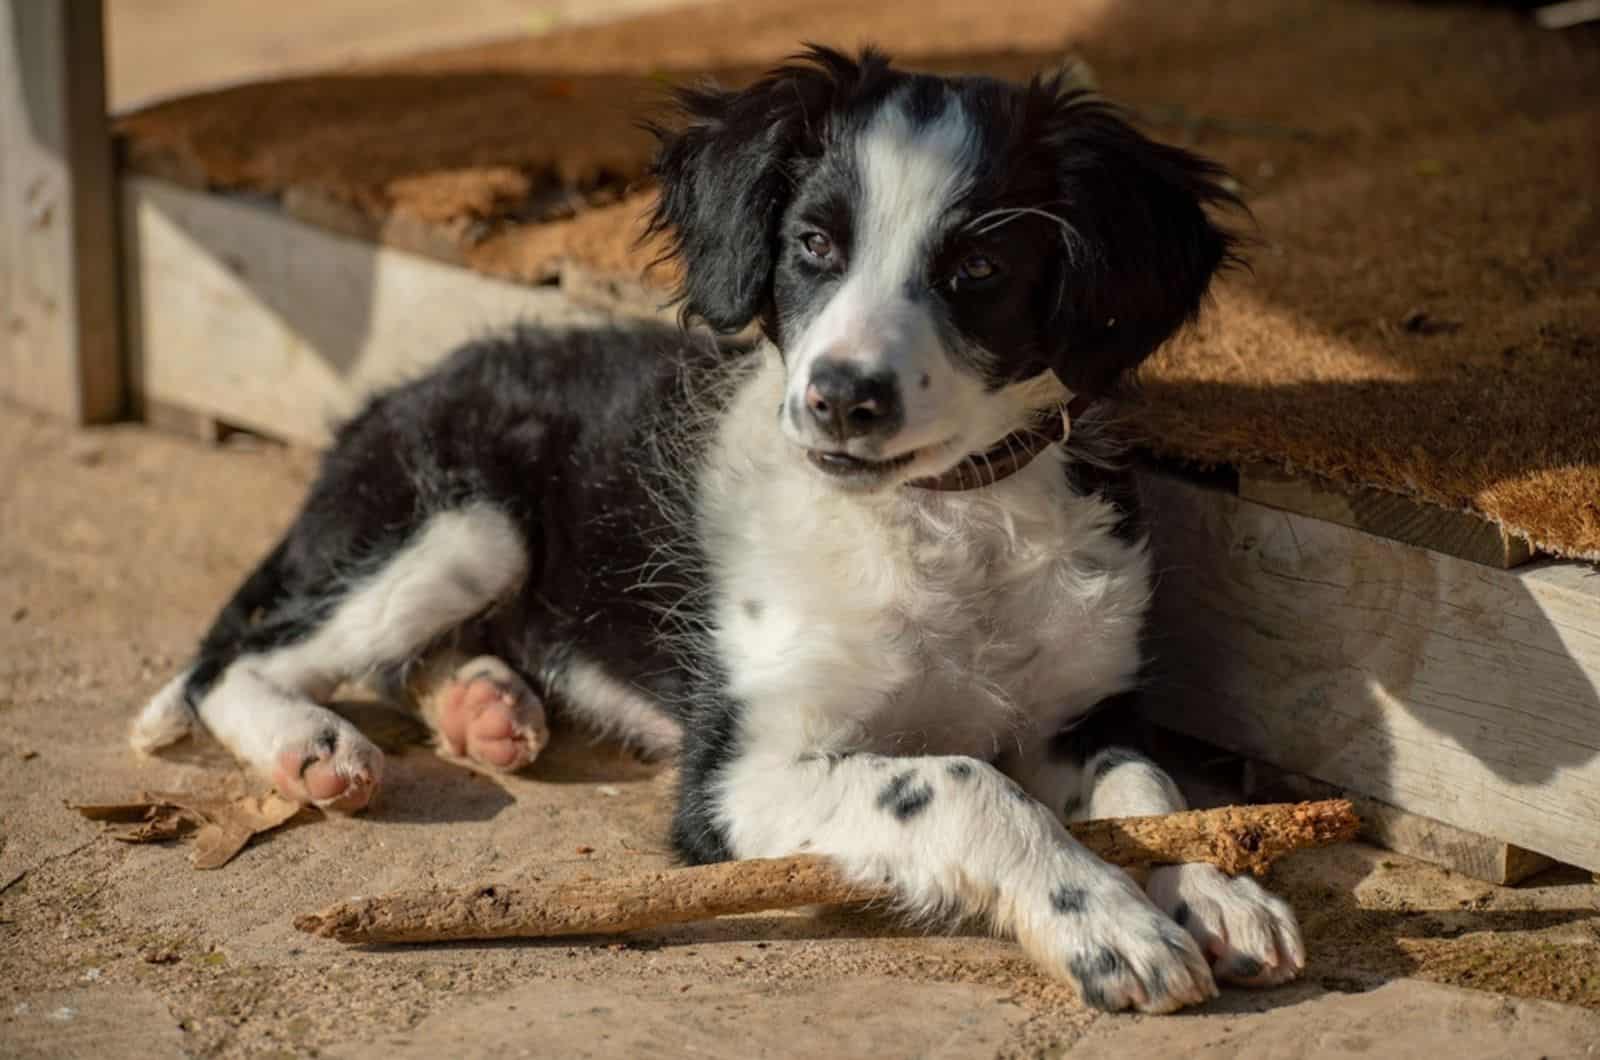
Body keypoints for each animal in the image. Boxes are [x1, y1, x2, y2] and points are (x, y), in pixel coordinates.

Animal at [134, 47, 1299, 1011]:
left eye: (977, 272)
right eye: (813, 244)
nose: (841, 400)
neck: (940, 512)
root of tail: (402, 389)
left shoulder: (1081, 709)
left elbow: (1149, 787)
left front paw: (1219, 885)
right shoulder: (735, 779)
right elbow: (965, 781)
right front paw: (1107, 925)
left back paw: (483, 704)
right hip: (462, 519)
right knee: (233, 658)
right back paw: (312, 747)